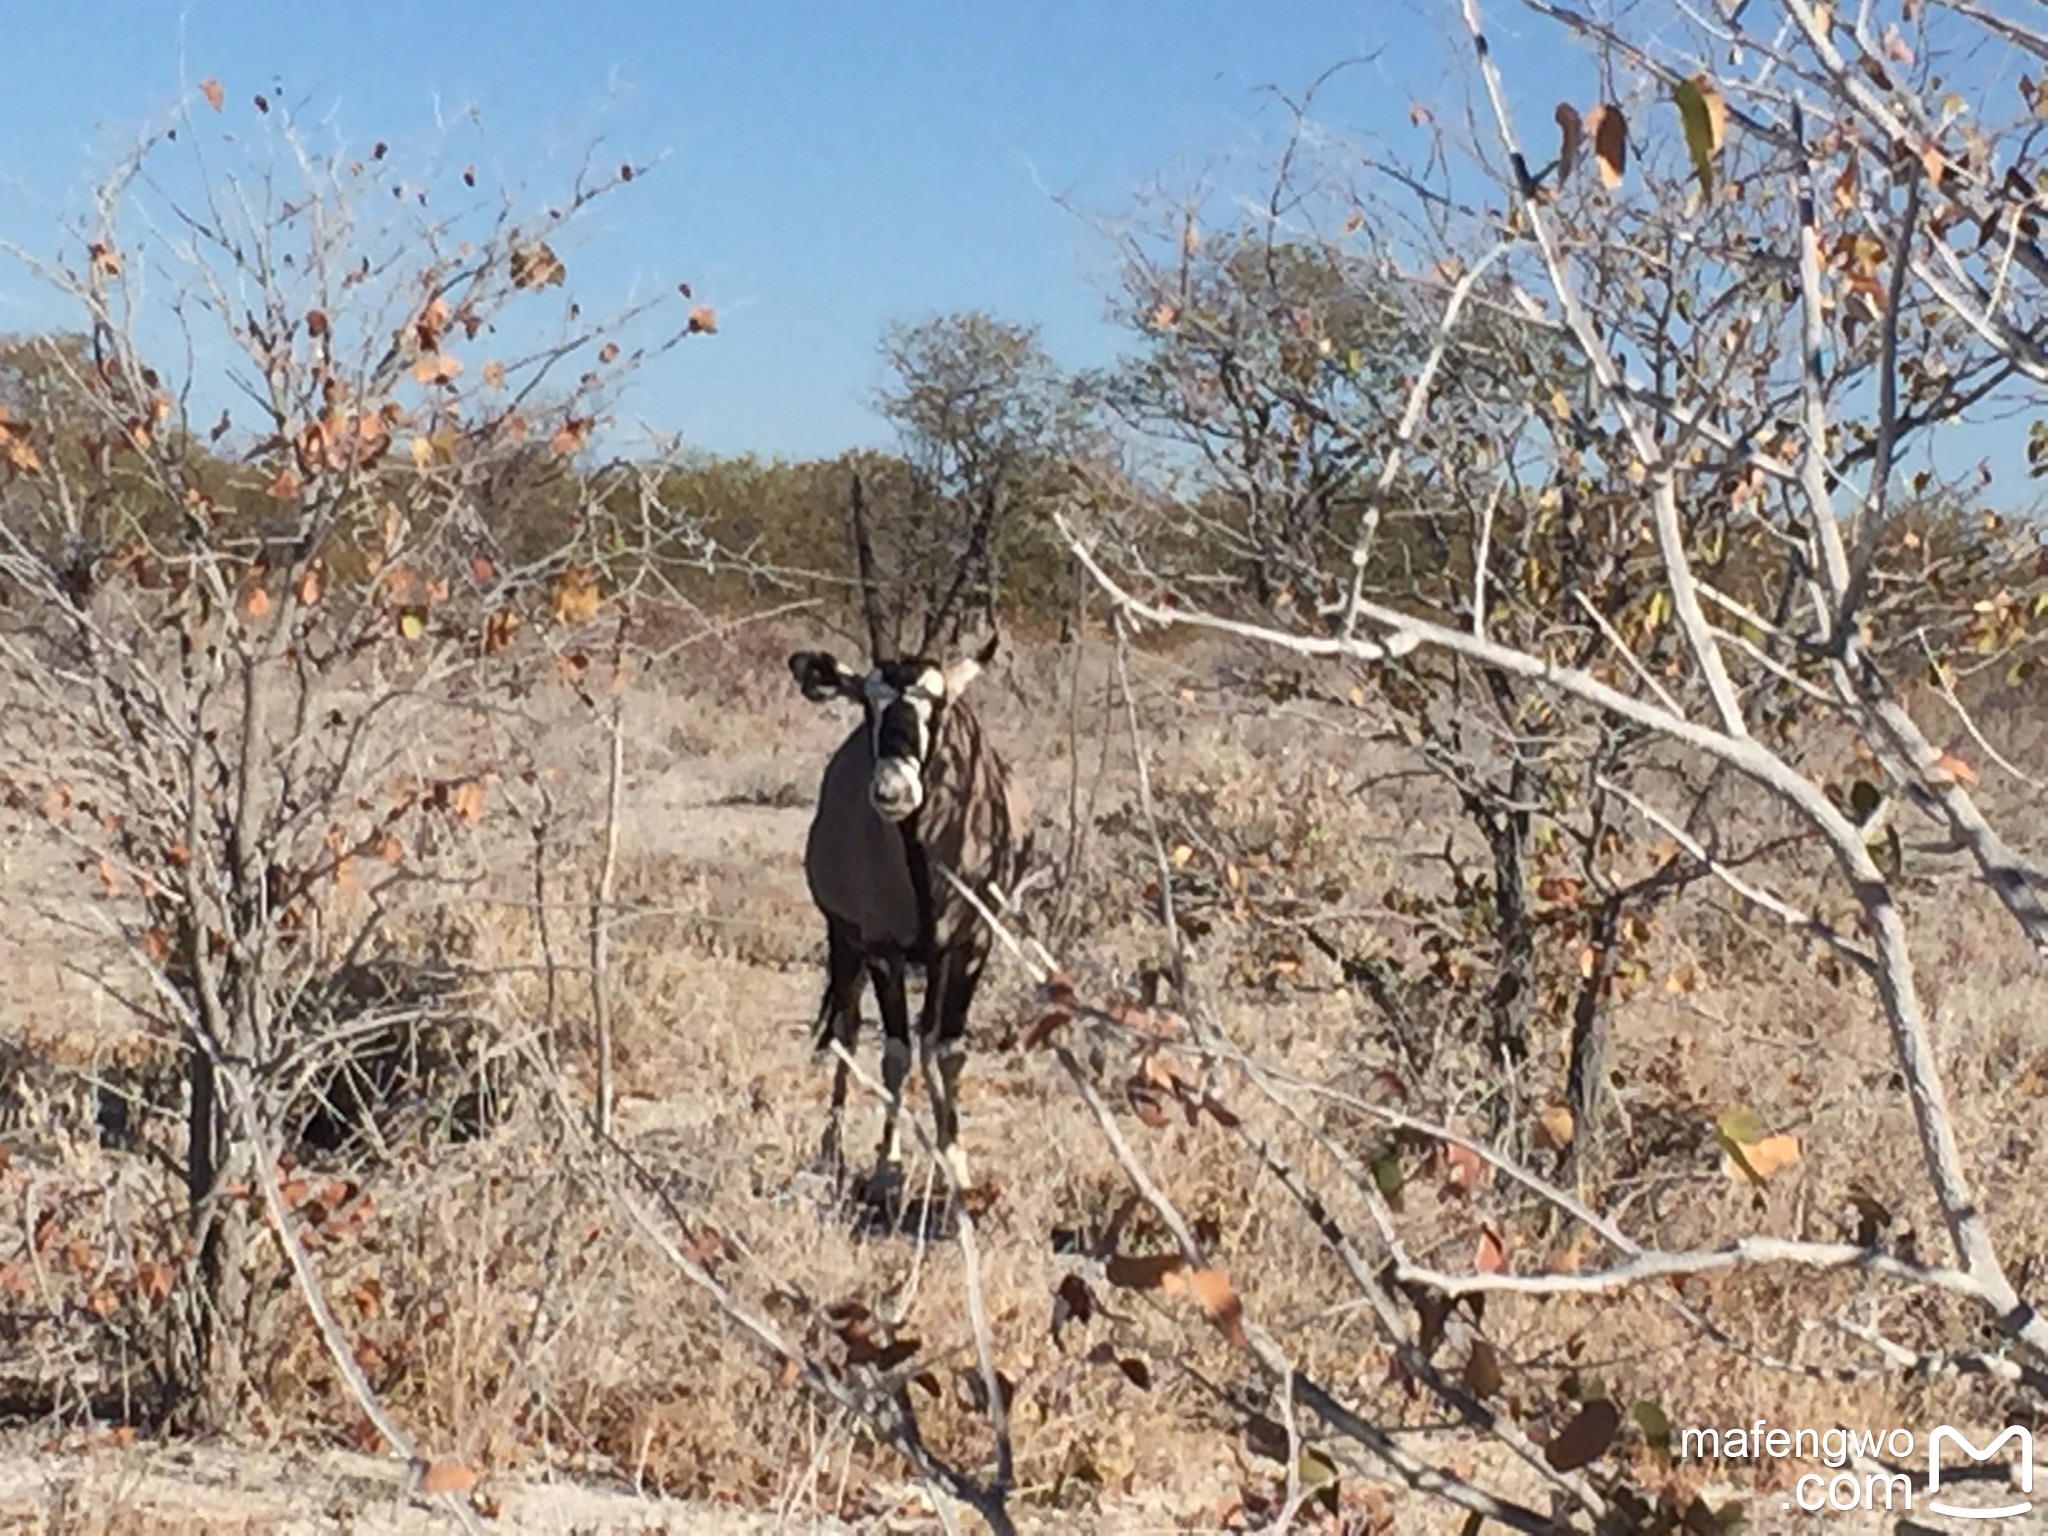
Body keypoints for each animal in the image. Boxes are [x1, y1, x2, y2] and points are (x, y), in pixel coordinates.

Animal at [790, 481, 1032, 1204]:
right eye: (866, 702)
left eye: (938, 703)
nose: (893, 790)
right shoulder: (883, 948)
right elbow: (895, 1052)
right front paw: (886, 1169)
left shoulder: (971, 947)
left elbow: (946, 1050)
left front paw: (957, 1169)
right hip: (842, 939)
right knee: (846, 1027)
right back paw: (832, 1149)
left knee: (919, 1040)